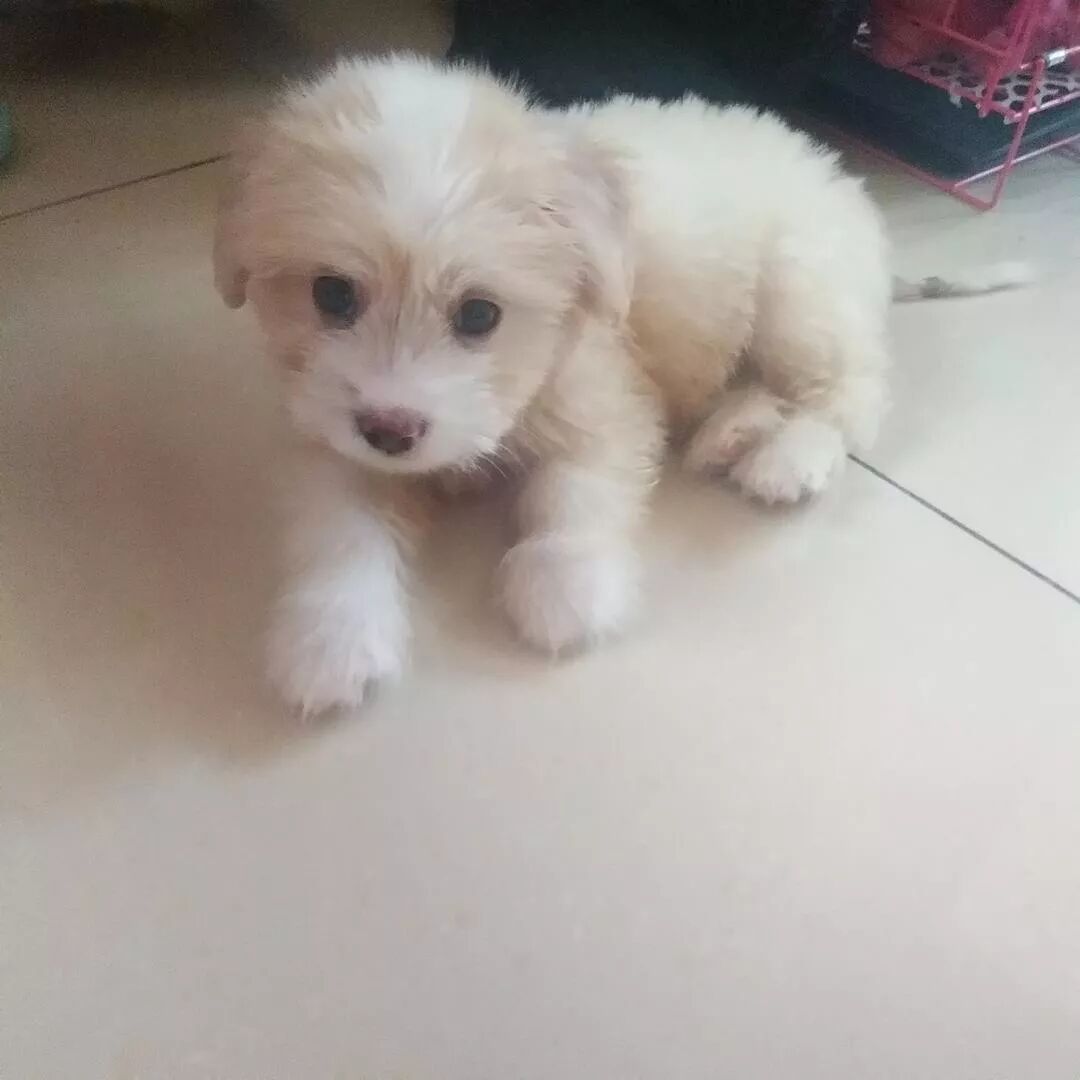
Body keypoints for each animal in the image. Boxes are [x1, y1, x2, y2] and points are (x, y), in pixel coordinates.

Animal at [214, 54, 1028, 715]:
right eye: (332, 295)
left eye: (479, 314)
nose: (392, 430)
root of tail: (837, 175)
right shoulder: (332, 438)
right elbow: (340, 530)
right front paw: (328, 640)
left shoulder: (605, 406)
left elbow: (570, 495)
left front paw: (565, 588)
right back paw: (731, 429)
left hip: (800, 293)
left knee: (851, 394)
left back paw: (785, 456)